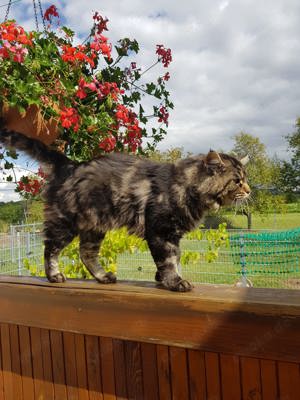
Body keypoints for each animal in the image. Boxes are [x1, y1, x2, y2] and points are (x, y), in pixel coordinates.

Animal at [0, 126, 251, 292]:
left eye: (245, 179)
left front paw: (164, 278)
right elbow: (169, 259)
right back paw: (54, 276)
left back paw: (103, 277)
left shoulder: (172, 234)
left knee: (86, 253)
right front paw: (174, 281)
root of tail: (71, 164)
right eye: (237, 181)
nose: (249, 191)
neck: (185, 185)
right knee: (51, 248)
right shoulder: (161, 231)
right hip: (65, 221)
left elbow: (176, 258)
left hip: (94, 226)